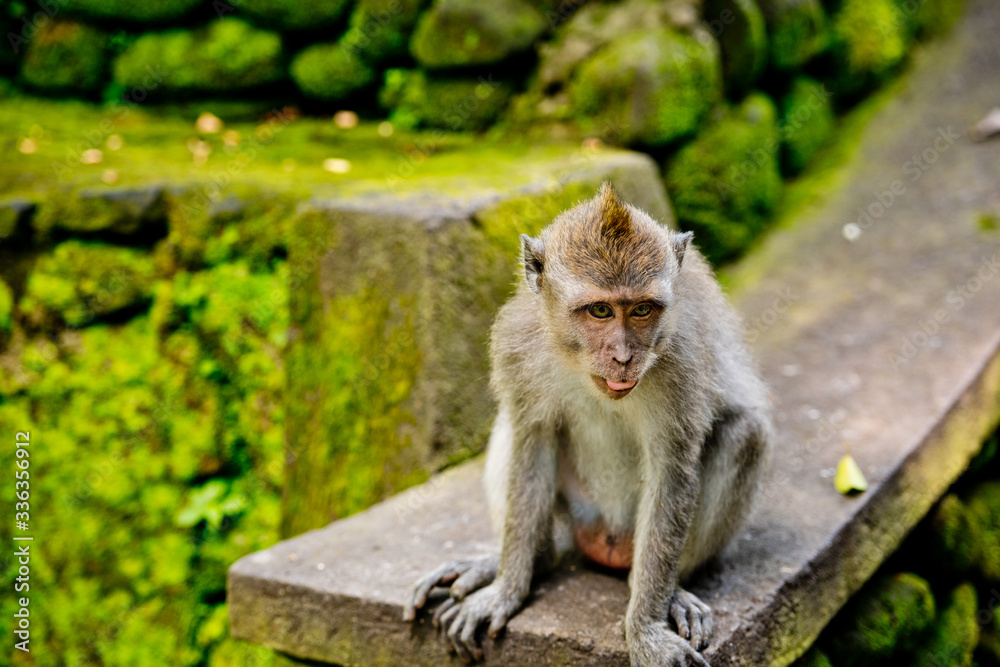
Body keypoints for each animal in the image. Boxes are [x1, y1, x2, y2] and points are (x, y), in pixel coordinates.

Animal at [402, 183, 768, 667]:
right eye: (599, 311)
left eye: (642, 310)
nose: (623, 356)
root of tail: (602, 539)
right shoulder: (518, 344)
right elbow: (533, 441)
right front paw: (506, 588)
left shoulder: (683, 359)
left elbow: (672, 468)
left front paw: (645, 628)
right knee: (512, 429)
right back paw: (523, 560)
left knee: (746, 434)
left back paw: (673, 593)